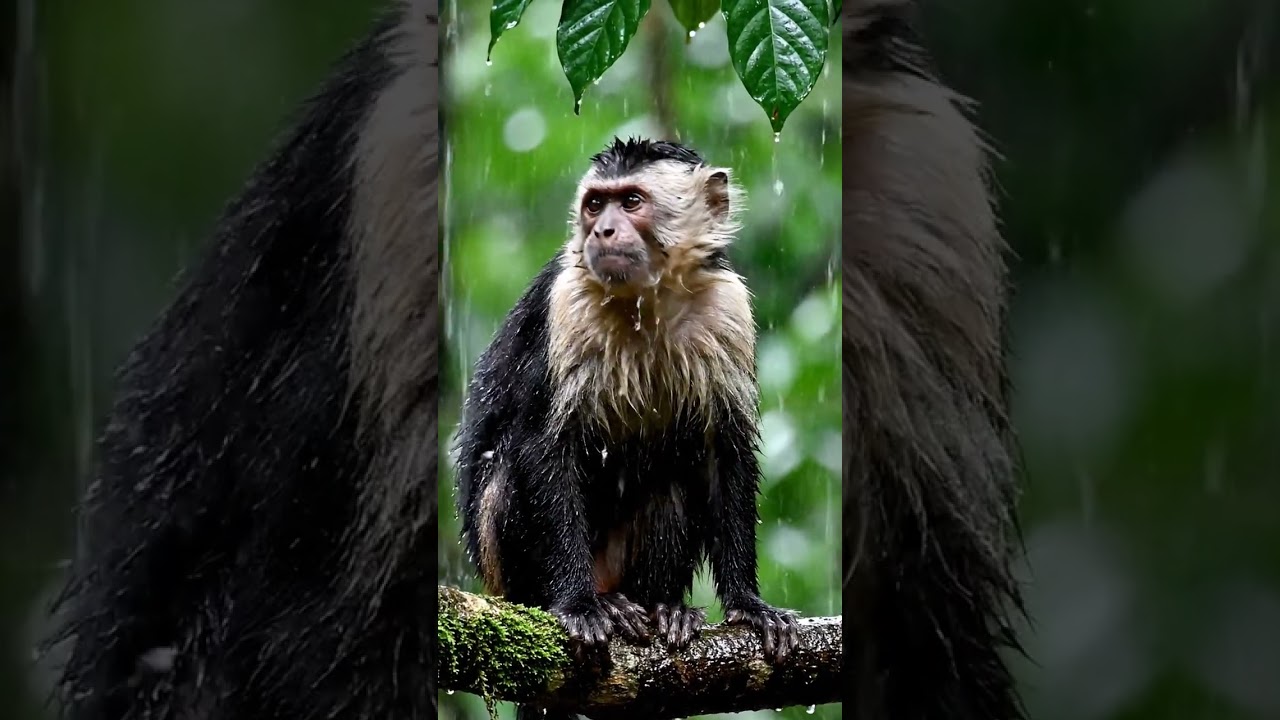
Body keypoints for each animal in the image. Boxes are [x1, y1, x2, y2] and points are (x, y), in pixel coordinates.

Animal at [452, 137, 801, 720]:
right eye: (596, 205)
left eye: (632, 201)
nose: (603, 231)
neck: (648, 301)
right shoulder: (564, 304)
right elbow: (543, 445)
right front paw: (575, 604)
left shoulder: (728, 307)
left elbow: (723, 450)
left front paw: (747, 604)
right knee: (507, 472)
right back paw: (595, 603)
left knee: (670, 484)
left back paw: (657, 606)